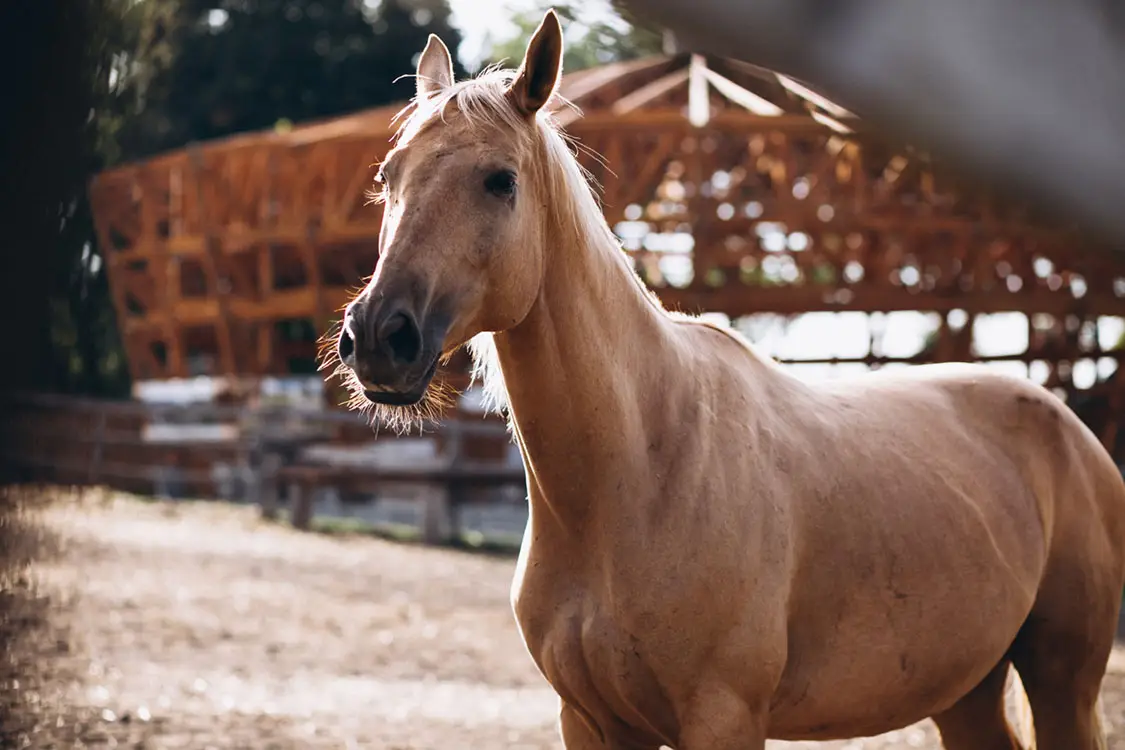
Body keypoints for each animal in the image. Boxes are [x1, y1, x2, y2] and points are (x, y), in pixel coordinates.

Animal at [329, 11, 1125, 749]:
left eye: (499, 180)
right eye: (387, 178)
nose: (379, 338)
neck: (637, 470)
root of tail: (1071, 431)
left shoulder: (722, 716)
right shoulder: (588, 720)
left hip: (1063, 685)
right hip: (963, 690)